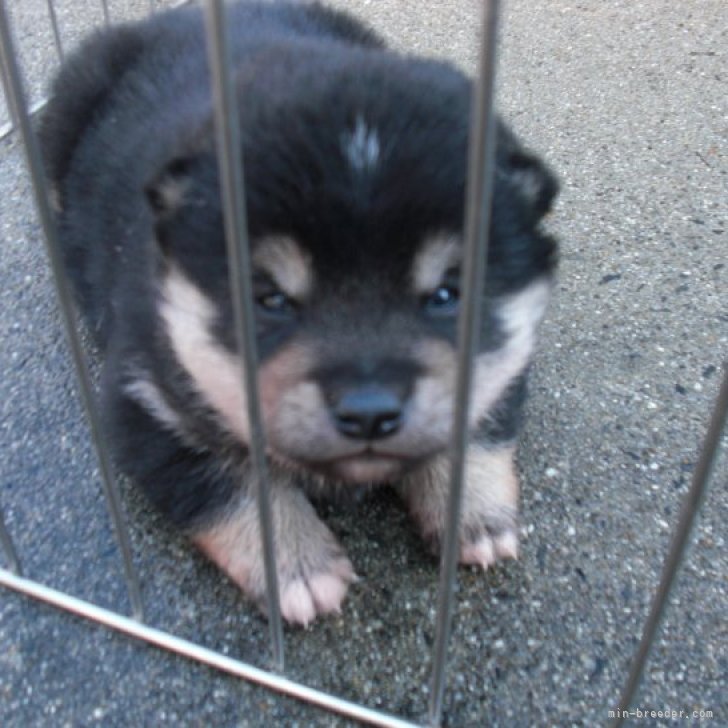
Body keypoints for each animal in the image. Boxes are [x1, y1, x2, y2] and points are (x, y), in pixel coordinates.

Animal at [39, 1, 560, 624]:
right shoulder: (143, 397)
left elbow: (478, 422)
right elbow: (231, 482)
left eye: (445, 294)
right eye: (271, 300)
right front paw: (296, 565)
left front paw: (474, 514)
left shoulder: (502, 361)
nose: (368, 412)